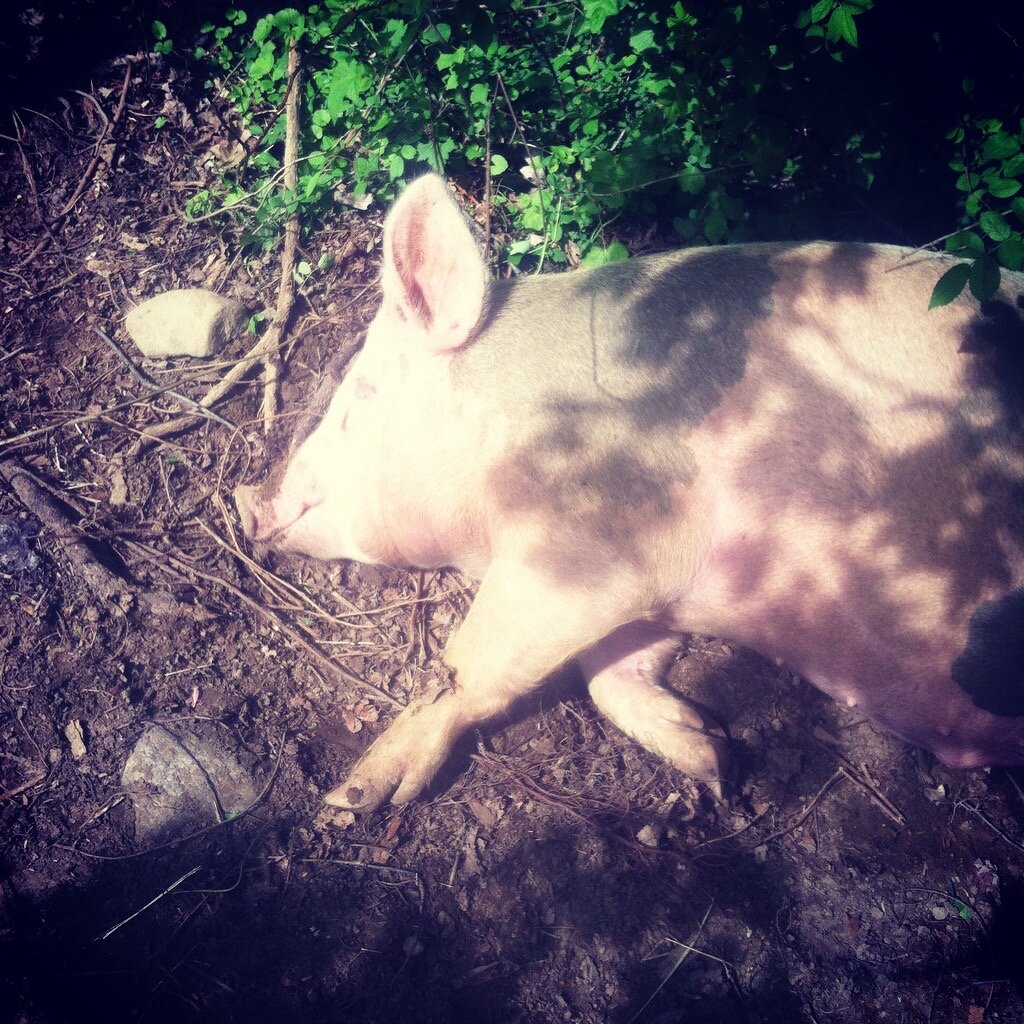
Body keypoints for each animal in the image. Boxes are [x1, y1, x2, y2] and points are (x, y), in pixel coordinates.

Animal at [235, 174, 1024, 813]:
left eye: (362, 394)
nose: (248, 501)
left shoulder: (600, 533)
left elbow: (470, 666)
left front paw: (355, 796)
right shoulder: (661, 585)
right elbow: (607, 674)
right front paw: (714, 758)